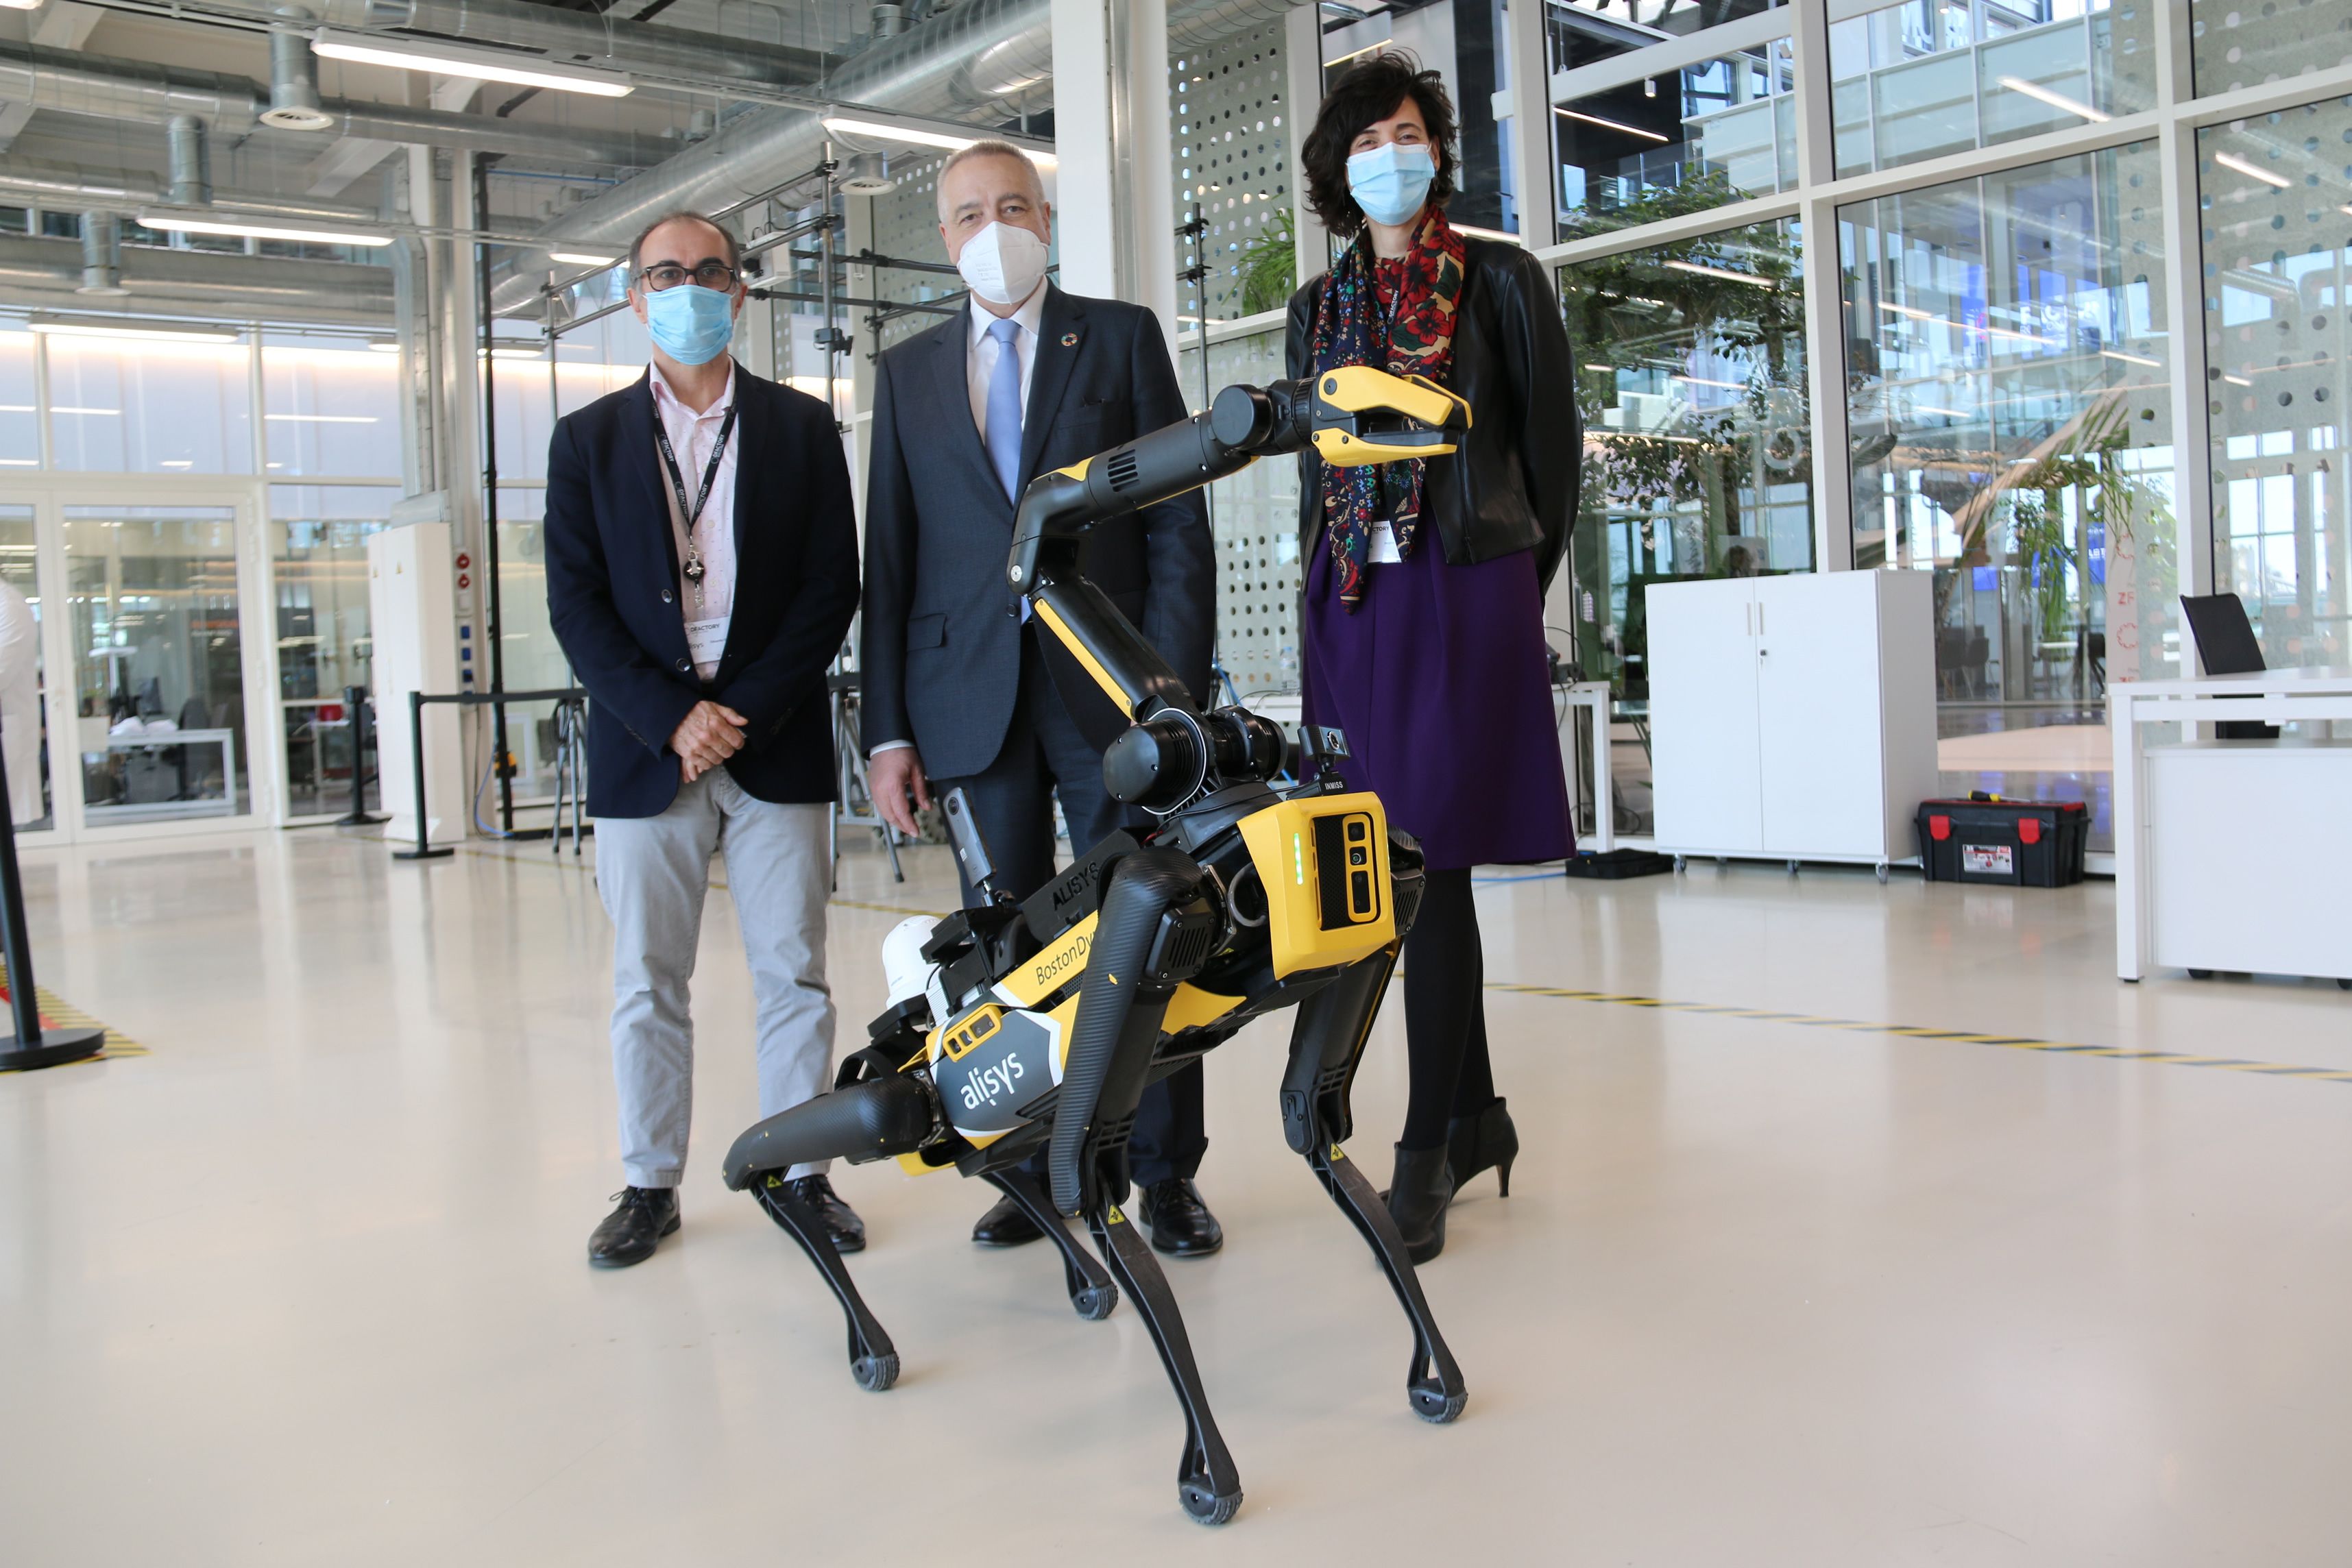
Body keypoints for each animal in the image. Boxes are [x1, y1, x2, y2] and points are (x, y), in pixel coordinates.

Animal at [719, 364, 1467, 1523]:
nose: (1412, 413)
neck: (1221, 825)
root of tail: (917, 1027)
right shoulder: (1151, 915)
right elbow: (1093, 1185)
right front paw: (1206, 1473)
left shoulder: (1390, 893)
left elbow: (1317, 1130)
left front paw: (1433, 1370)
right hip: (921, 1099)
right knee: (831, 1129)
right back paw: (843, 1297)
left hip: (963, 1126)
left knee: (985, 1157)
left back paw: (1055, 1272)